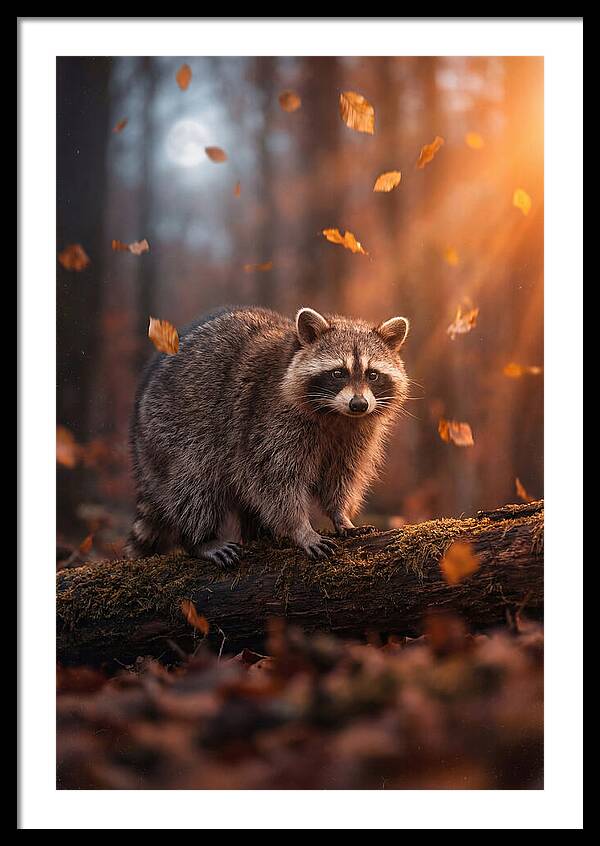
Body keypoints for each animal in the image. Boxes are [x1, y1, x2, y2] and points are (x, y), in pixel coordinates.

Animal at [127, 306, 410, 565]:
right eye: (338, 373)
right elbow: (275, 480)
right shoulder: (267, 421)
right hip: (172, 430)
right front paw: (301, 528)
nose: (359, 404)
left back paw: (258, 534)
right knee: (194, 483)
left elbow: (341, 476)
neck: (336, 415)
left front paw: (341, 515)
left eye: (372, 375)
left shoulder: (355, 435)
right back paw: (200, 539)